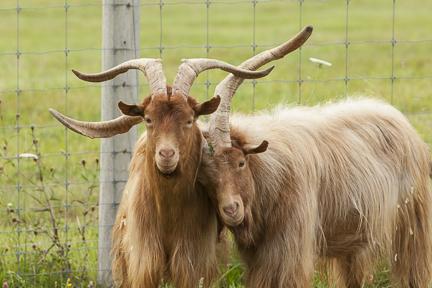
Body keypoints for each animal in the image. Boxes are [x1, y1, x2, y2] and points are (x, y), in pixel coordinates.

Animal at [49, 57, 274, 286]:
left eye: (189, 120)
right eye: (149, 119)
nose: (166, 155)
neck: (167, 216)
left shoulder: (193, 265)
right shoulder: (142, 264)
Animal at [202, 28, 432, 286]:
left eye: (241, 163)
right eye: (206, 176)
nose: (230, 210)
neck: (267, 171)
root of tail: (400, 120)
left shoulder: (289, 248)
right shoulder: (260, 255)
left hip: (411, 222)